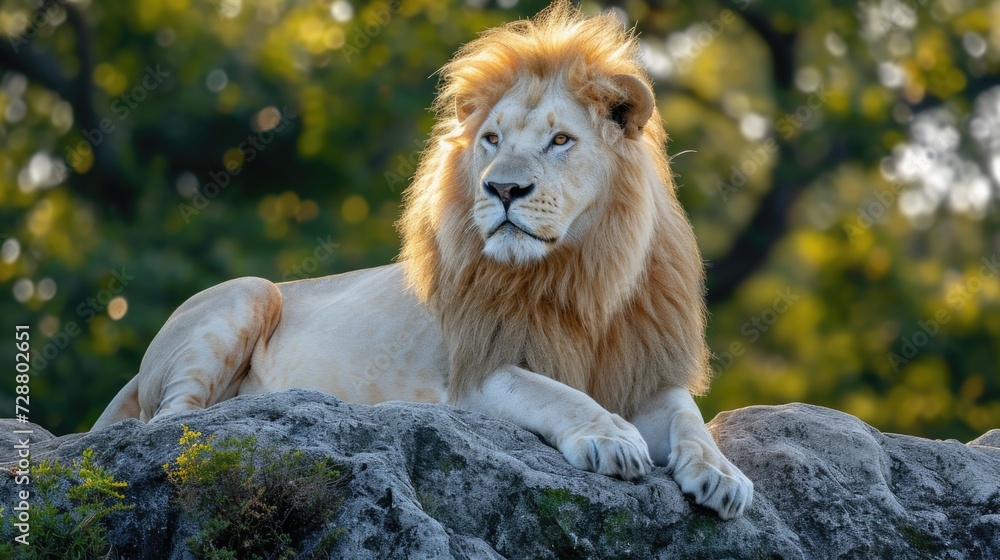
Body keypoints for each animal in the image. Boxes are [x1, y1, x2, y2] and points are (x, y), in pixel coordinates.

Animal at [93, 1, 753, 519]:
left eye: (560, 140)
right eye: (491, 140)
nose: (501, 189)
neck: (581, 273)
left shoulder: (644, 365)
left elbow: (689, 417)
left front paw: (723, 476)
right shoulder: (472, 372)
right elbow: (552, 393)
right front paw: (610, 436)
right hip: (250, 292)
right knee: (170, 424)